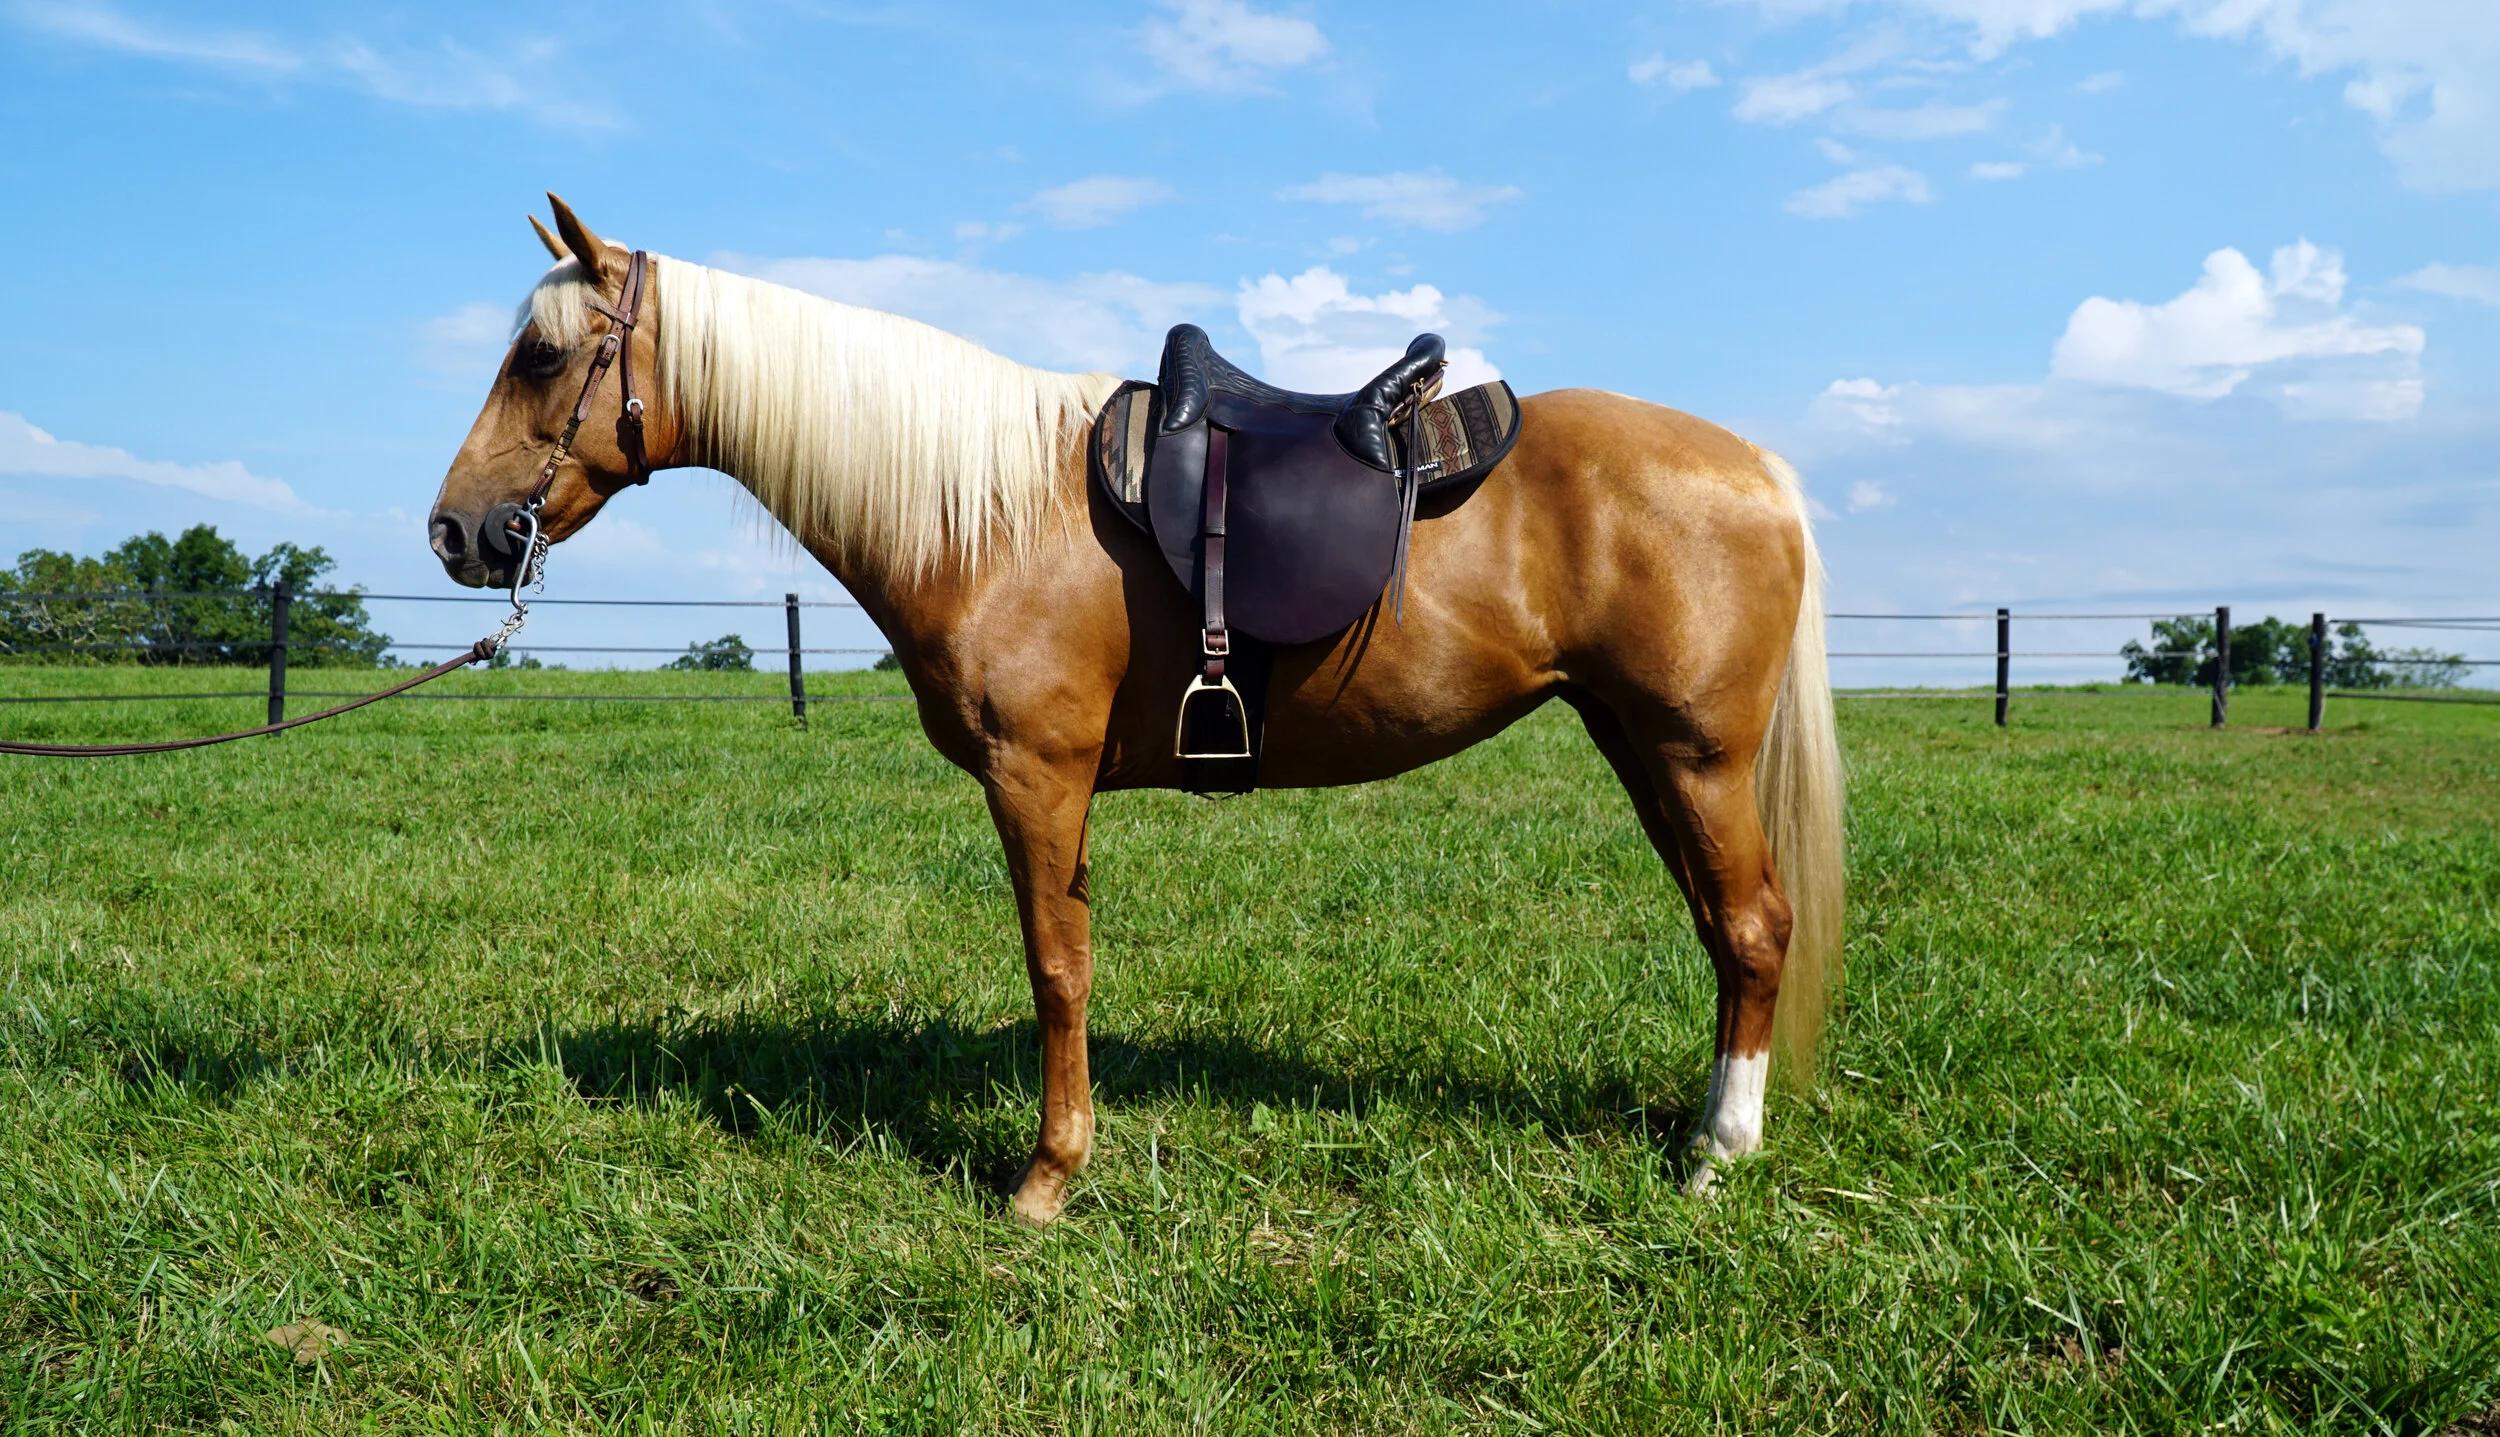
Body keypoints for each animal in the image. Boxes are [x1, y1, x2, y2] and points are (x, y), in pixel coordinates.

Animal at [428, 196, 1845, 1225]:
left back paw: (1719, 1153)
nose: (456, 531)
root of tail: (1758, 466)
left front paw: (1048, 1178)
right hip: (1641, 746)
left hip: (1694, 754)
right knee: (1722, 930)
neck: (992, 512)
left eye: (541, 355)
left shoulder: (1036, 776)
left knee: (1754, 928)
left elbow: (1057, 969)